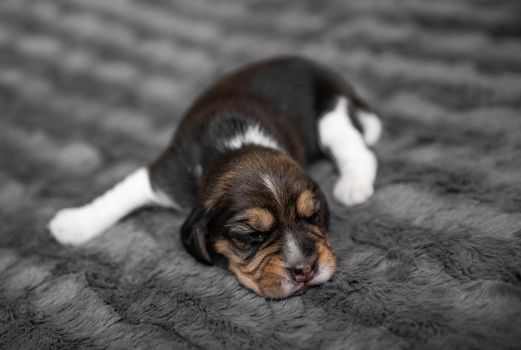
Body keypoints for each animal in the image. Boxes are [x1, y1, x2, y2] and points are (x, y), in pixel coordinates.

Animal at [49, 56, 382, 298]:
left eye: (312, 217)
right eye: (252, 236)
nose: (306, 269)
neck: (238, 144)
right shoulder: (164, 176)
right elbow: (118, 196)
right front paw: (73, 224)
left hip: (331, 114)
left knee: (358, 150)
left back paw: (353, 184)